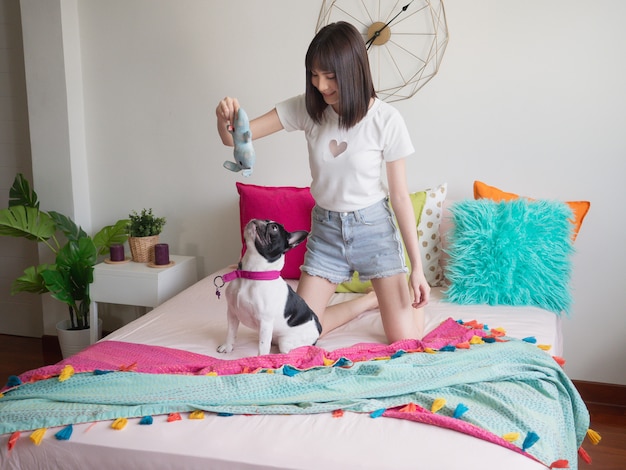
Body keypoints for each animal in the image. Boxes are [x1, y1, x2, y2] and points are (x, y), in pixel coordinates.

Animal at [216, 218, 322, 354]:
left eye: (274, 228)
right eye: (264, 219)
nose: (256, 219)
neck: (251, 274)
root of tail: (318, 328)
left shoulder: (265, 323)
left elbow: (262, 348)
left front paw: (262, 359)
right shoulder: (232, 313)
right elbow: (231, 332)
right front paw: (227, 346)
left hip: (287, 342)